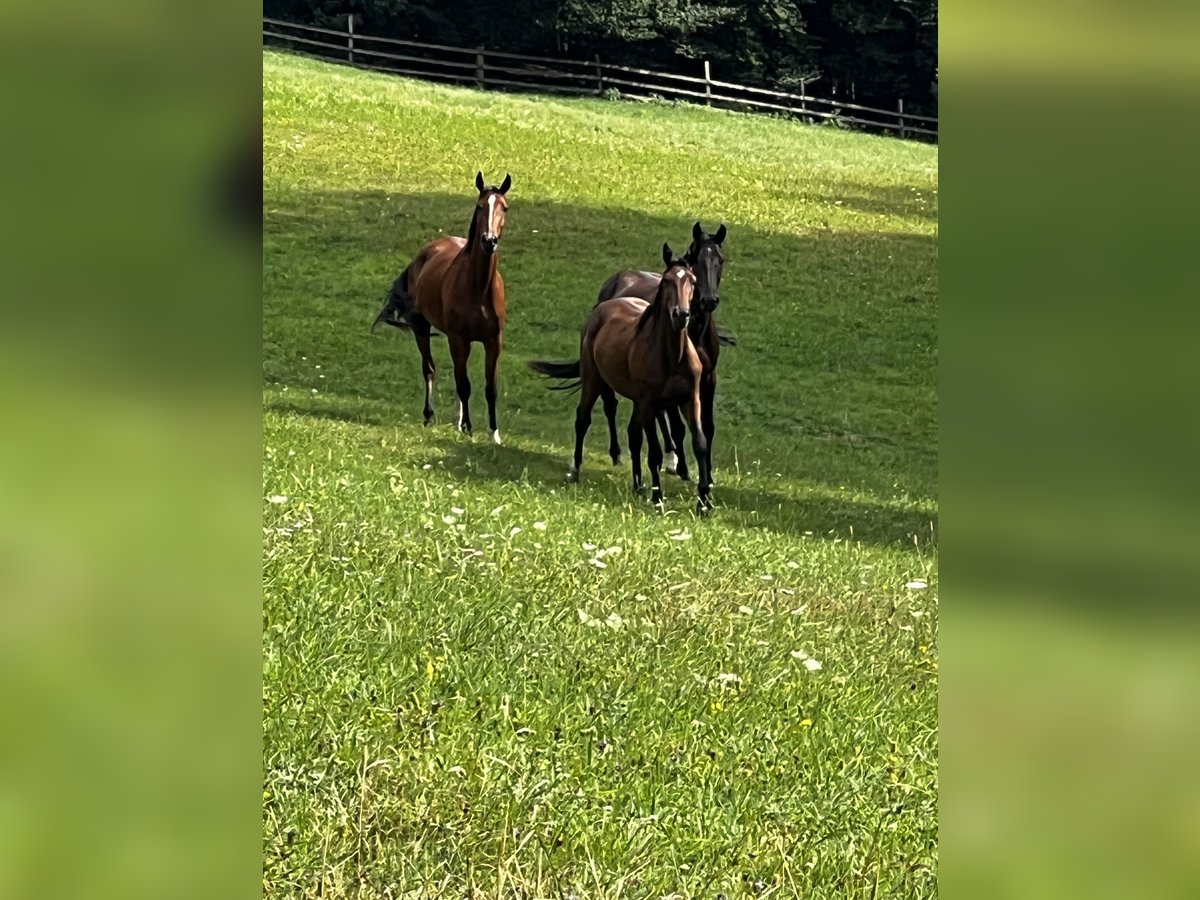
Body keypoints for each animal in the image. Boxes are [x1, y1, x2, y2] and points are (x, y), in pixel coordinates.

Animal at [369, 171, 511, 444]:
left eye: (504, 207)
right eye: (480, 206)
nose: (489, 241)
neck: (479, 290)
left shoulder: (493, 341)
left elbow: (491, 388)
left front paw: (493, 433)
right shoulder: (457, 338)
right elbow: (463, 384)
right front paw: (468, 427)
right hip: (422, 329)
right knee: (430, 369)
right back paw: (430, 415)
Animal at [528, 244, 710, 513]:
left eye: (692, 280)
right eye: (666, 281)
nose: (681, 315)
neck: (672, 357)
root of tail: (602, 307)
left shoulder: (690, 398)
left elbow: (700, 444)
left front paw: (705, 502)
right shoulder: (649, 403)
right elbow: (654, 452)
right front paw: (657, 498)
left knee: (633, 434)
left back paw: (638, 484)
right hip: (593, 380)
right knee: (583, 419)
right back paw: (575, 471)